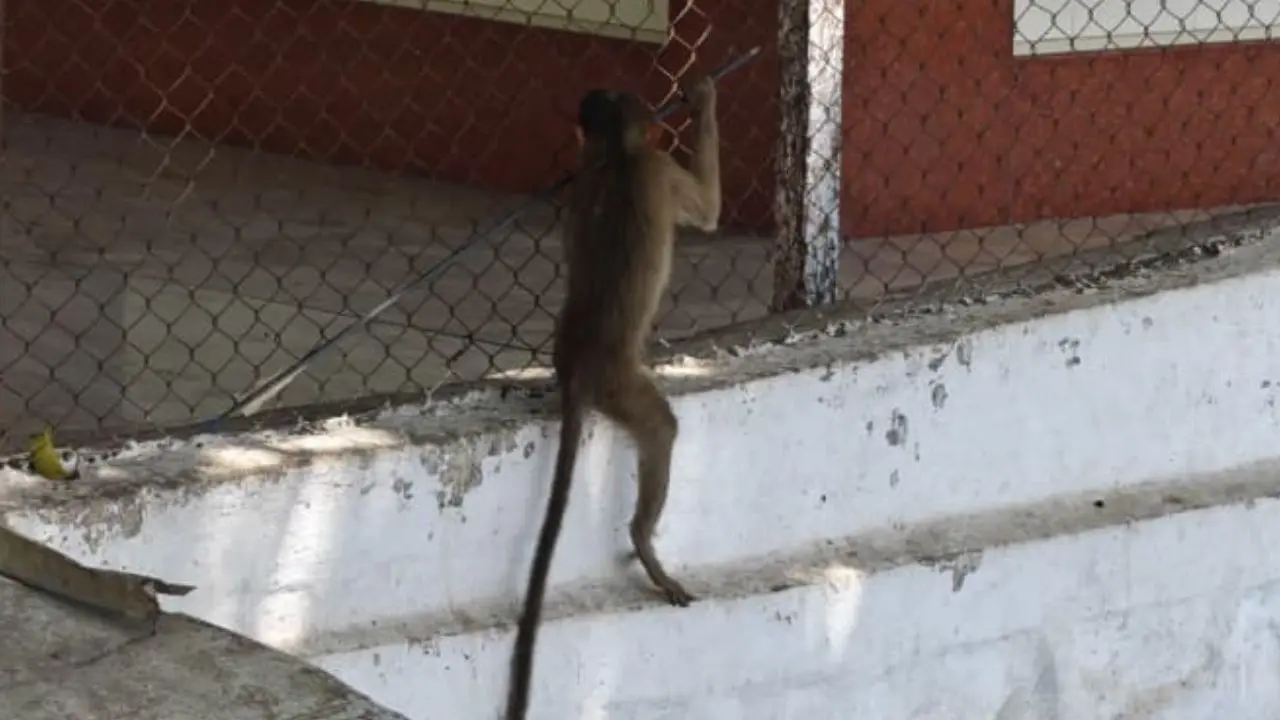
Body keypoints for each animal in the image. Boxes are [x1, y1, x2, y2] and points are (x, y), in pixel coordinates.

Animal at [504, 76, 720, 720]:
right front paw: (703, 97)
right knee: (662, 428)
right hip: (622, 385)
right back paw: (642, 540)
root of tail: (580, 367)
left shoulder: (582, 187)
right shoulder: (658, 169)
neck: (619, 157)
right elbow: (709, 211)